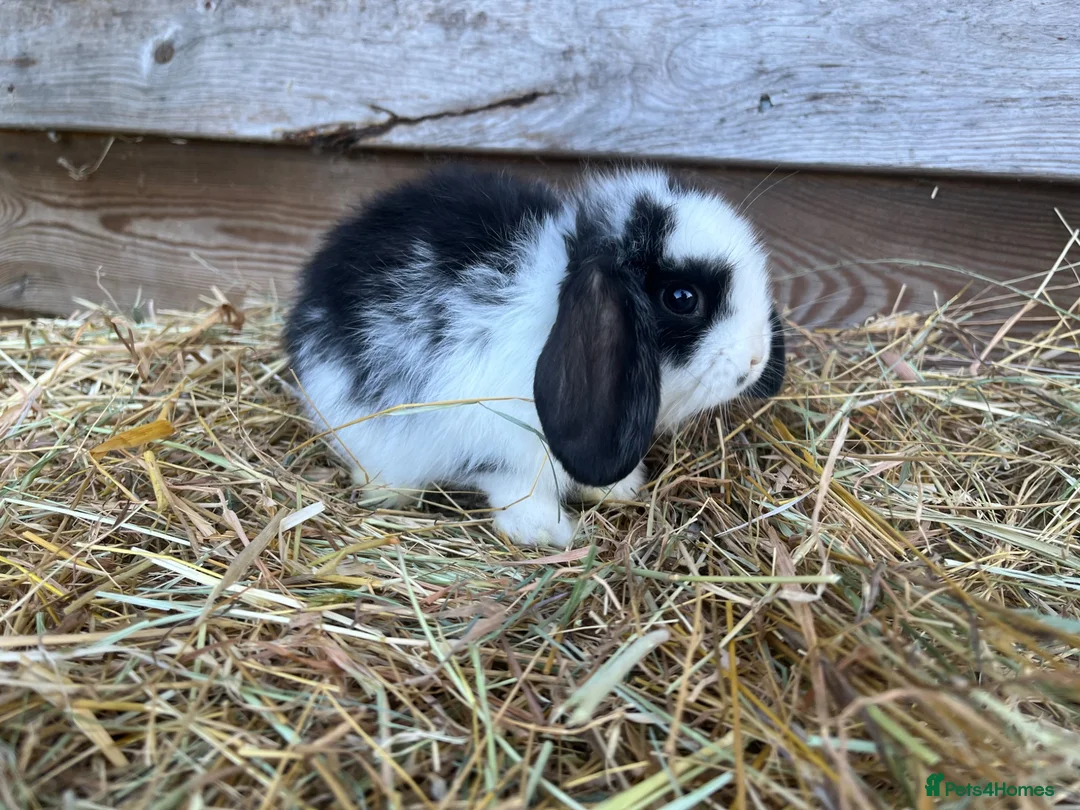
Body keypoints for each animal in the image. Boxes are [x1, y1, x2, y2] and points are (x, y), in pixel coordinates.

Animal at [284, 165, 785, 548]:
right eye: (682, 298)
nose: (756, 359)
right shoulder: (504, 447)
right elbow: (518, 490)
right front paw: (549, 533)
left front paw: (620, 489)